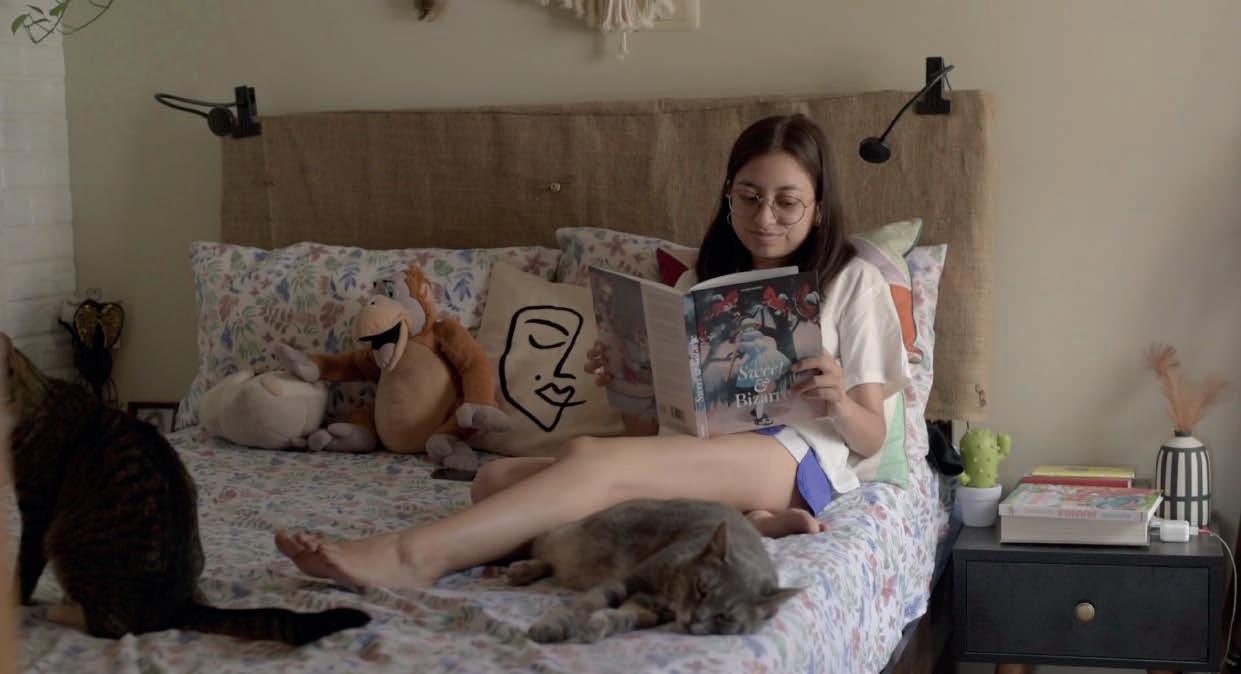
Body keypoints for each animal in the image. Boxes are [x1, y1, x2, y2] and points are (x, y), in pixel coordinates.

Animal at [0, 333, 370, 645]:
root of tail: (175, 606)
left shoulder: (37, 510)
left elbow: (25, 565)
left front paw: (16, 603)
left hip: (62, 538)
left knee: (112, 628)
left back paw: (61, 611)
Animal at [507, 498, 801, 643]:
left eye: (725, 617)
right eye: (701, 589)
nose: (694, 619)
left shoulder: (648, 610)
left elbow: (622, 618)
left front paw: (598, 626)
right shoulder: (626, 582)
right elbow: (583, 605)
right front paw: (554, 626)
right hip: (575, 543)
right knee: (543, 549)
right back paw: (522, 570)